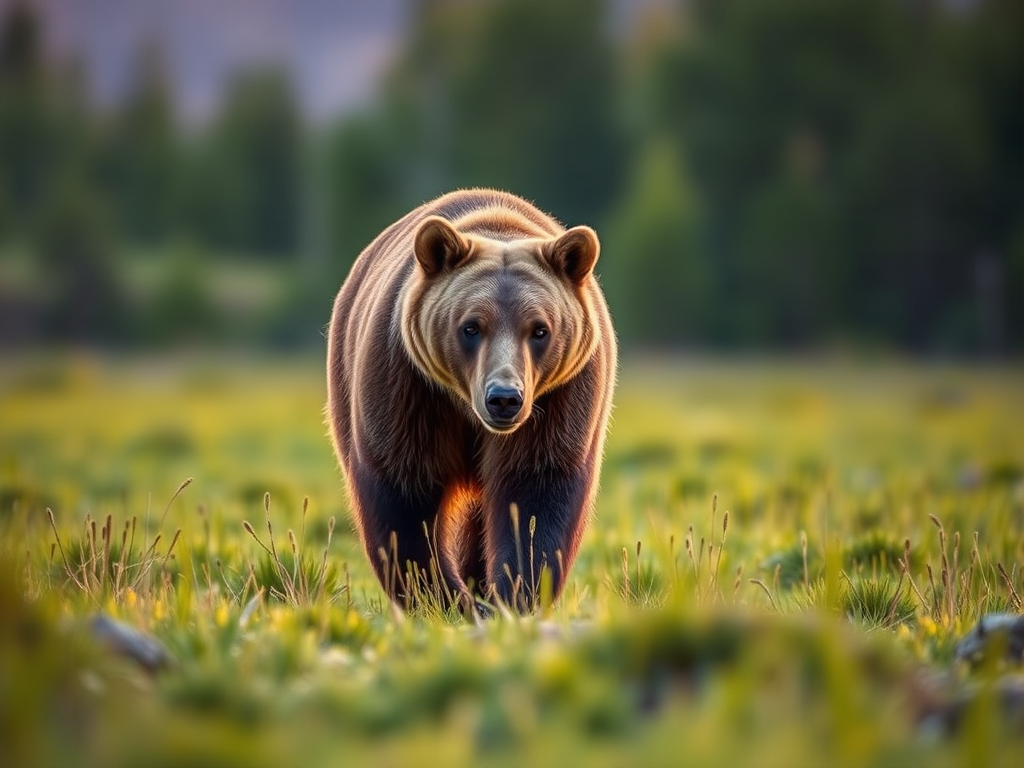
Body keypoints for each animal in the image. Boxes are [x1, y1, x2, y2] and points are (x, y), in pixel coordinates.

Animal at [326, 189, 616, 614]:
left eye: (540, 329)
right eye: (471, 326)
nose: (504, 398)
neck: (466, 410)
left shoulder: (560, 401)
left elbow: (535, 494)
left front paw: (509, 595)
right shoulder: (409, 388)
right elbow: (403, 491)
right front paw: (444, 597)